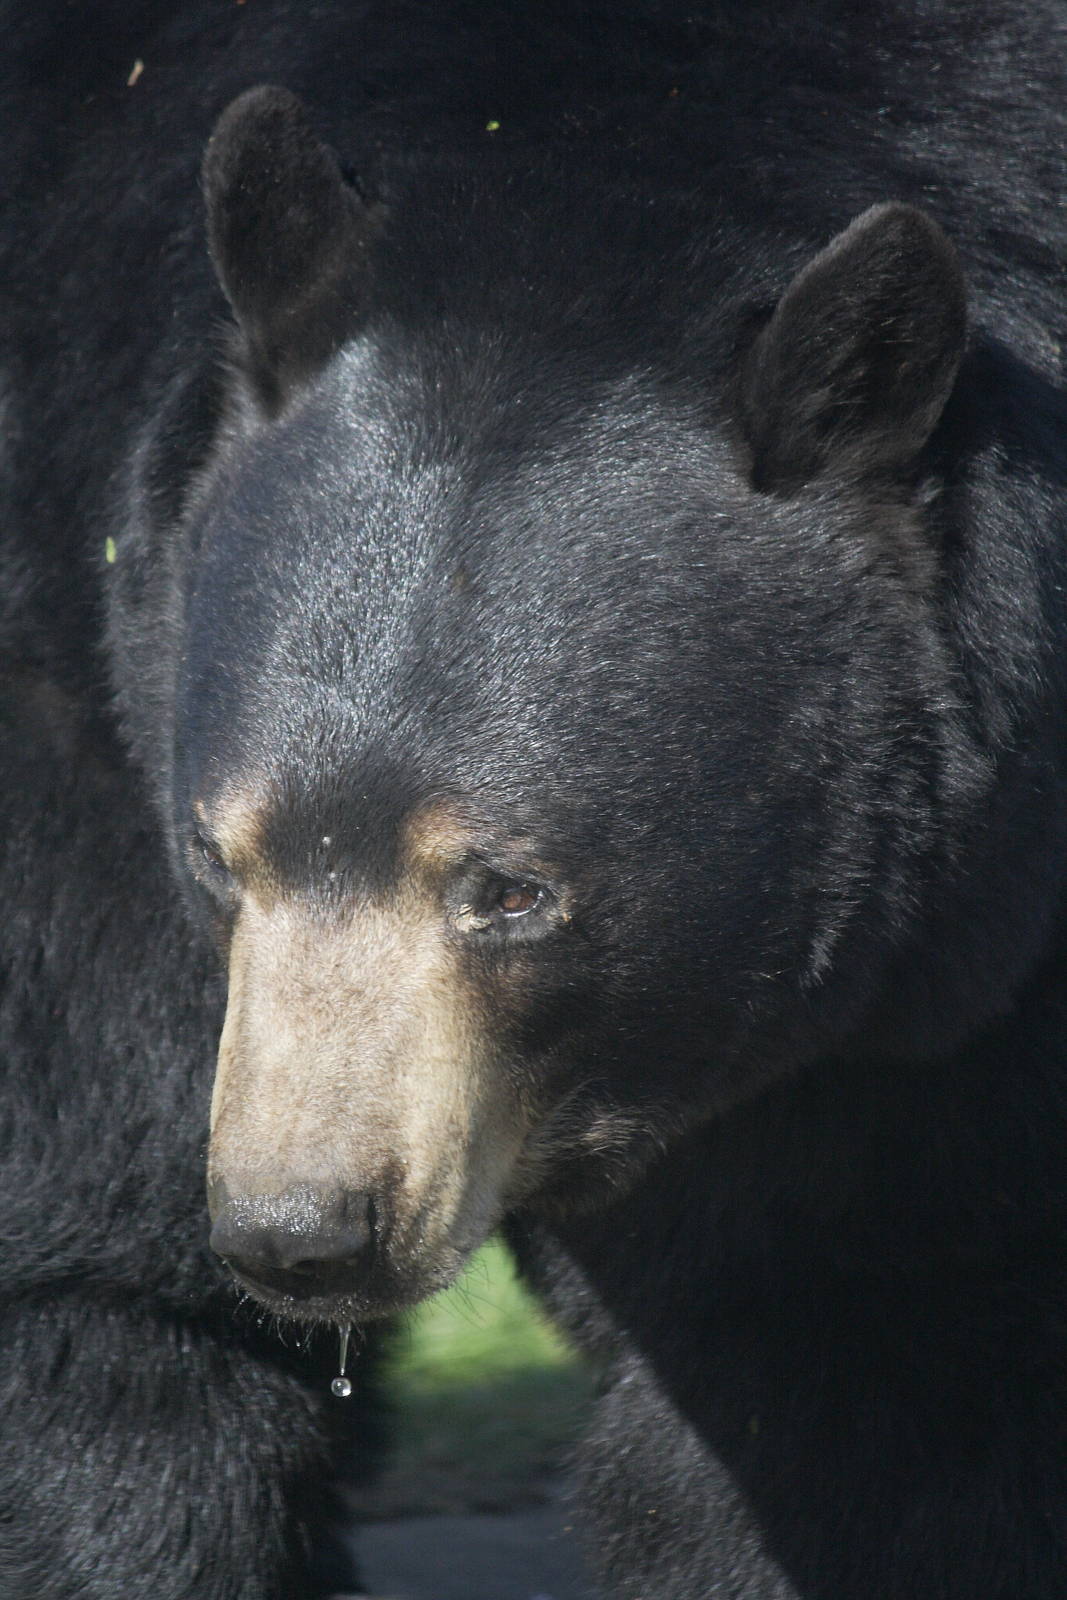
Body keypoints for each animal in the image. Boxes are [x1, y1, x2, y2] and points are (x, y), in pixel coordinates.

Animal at [3, 2, 1066, 1598]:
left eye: (507, 888)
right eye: (219, 855)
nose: (304, 1232)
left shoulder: (952, 967)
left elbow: (866, 1350)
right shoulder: (78, 665)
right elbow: (108, 1299)